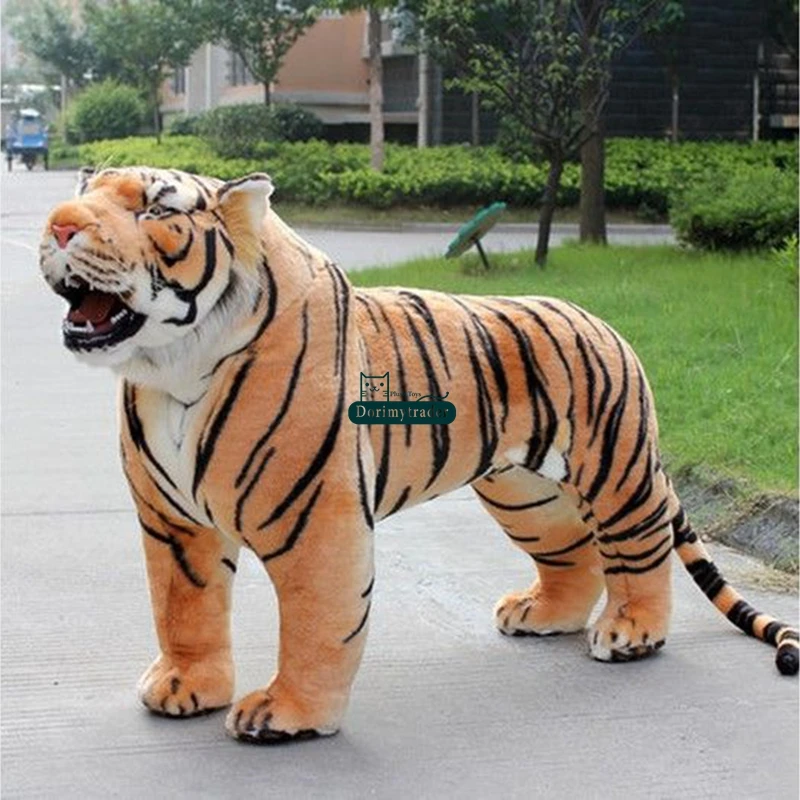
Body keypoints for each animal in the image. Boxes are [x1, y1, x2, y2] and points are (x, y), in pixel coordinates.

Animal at [39, 166, 798, 744]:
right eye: (85, 188)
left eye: (155, 207)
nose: (59, 227)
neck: (172, 369)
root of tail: (606, 322)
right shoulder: (174, 522)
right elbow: (183, 608)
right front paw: (184, 686)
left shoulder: (316, 521)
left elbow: (317, 623)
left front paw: (287, 715)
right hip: (525, 494)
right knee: (574, 558)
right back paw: (540, 616)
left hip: (617, 472)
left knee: (639, 554)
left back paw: (632, 633)